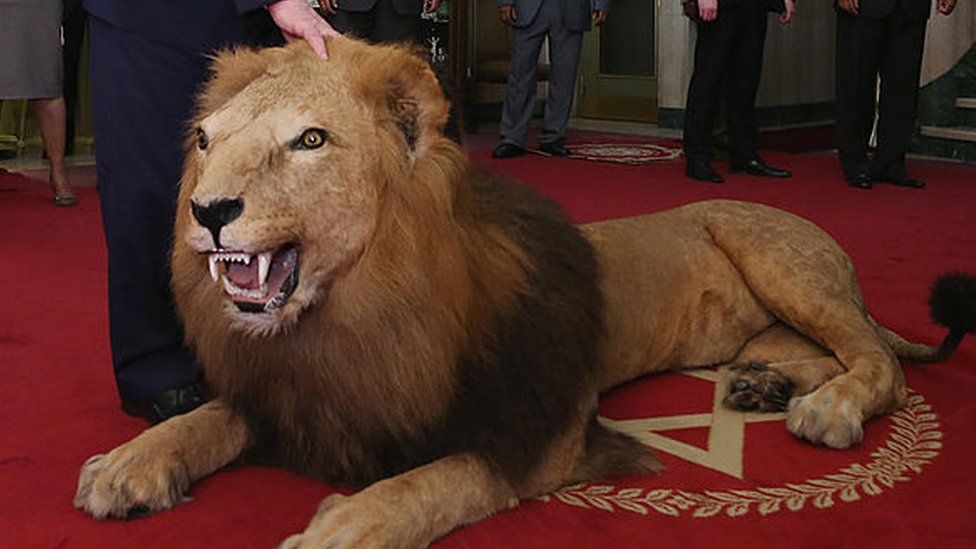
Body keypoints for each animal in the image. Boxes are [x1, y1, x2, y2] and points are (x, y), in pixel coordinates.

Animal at [70, 37, 976, 544]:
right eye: (204, 139)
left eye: (311, 141)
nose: (206, 210)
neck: (354, 310)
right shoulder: (296, 390)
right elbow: (209, 416)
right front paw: (131, 460)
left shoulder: (547, 424)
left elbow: (445, 476)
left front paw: (350, 523)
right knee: (822, 349)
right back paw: (763, 383)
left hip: (779, 257)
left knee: (878, 362)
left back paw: (825, 407)